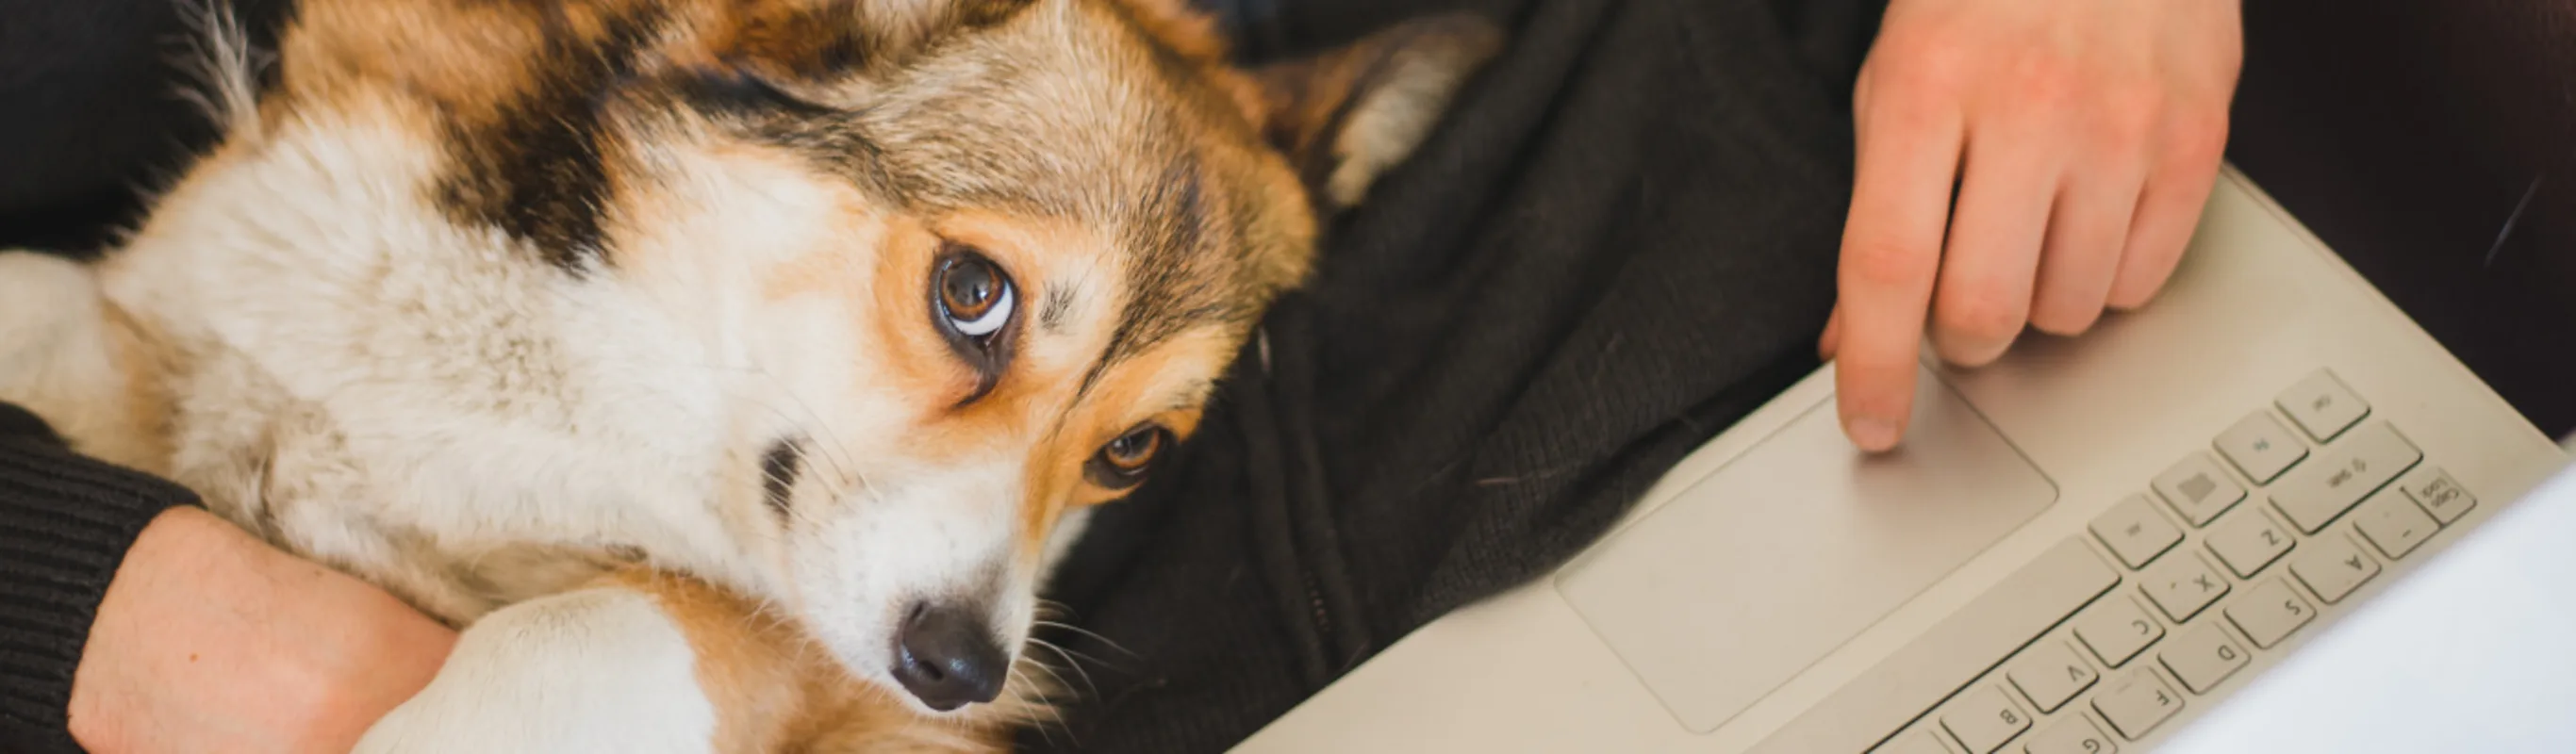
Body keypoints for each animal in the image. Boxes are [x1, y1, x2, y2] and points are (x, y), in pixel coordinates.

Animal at [0, 1, 1504, 746]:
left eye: (1135, 450)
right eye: (974, 294)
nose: (958, 670)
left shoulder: (796, 657)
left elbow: (588, 627)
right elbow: (45, 296)